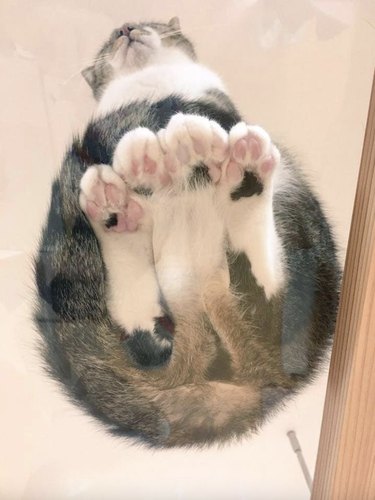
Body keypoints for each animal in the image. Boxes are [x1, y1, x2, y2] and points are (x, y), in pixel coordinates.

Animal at [33, 17, 342, 448]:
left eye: (149, 22)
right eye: (109, 39)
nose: (125, 28)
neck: (148, 83)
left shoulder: (211, 102)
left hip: (299, 233)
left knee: (265, 297)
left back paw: (234, 174)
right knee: (150, 326)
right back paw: (127, 201)